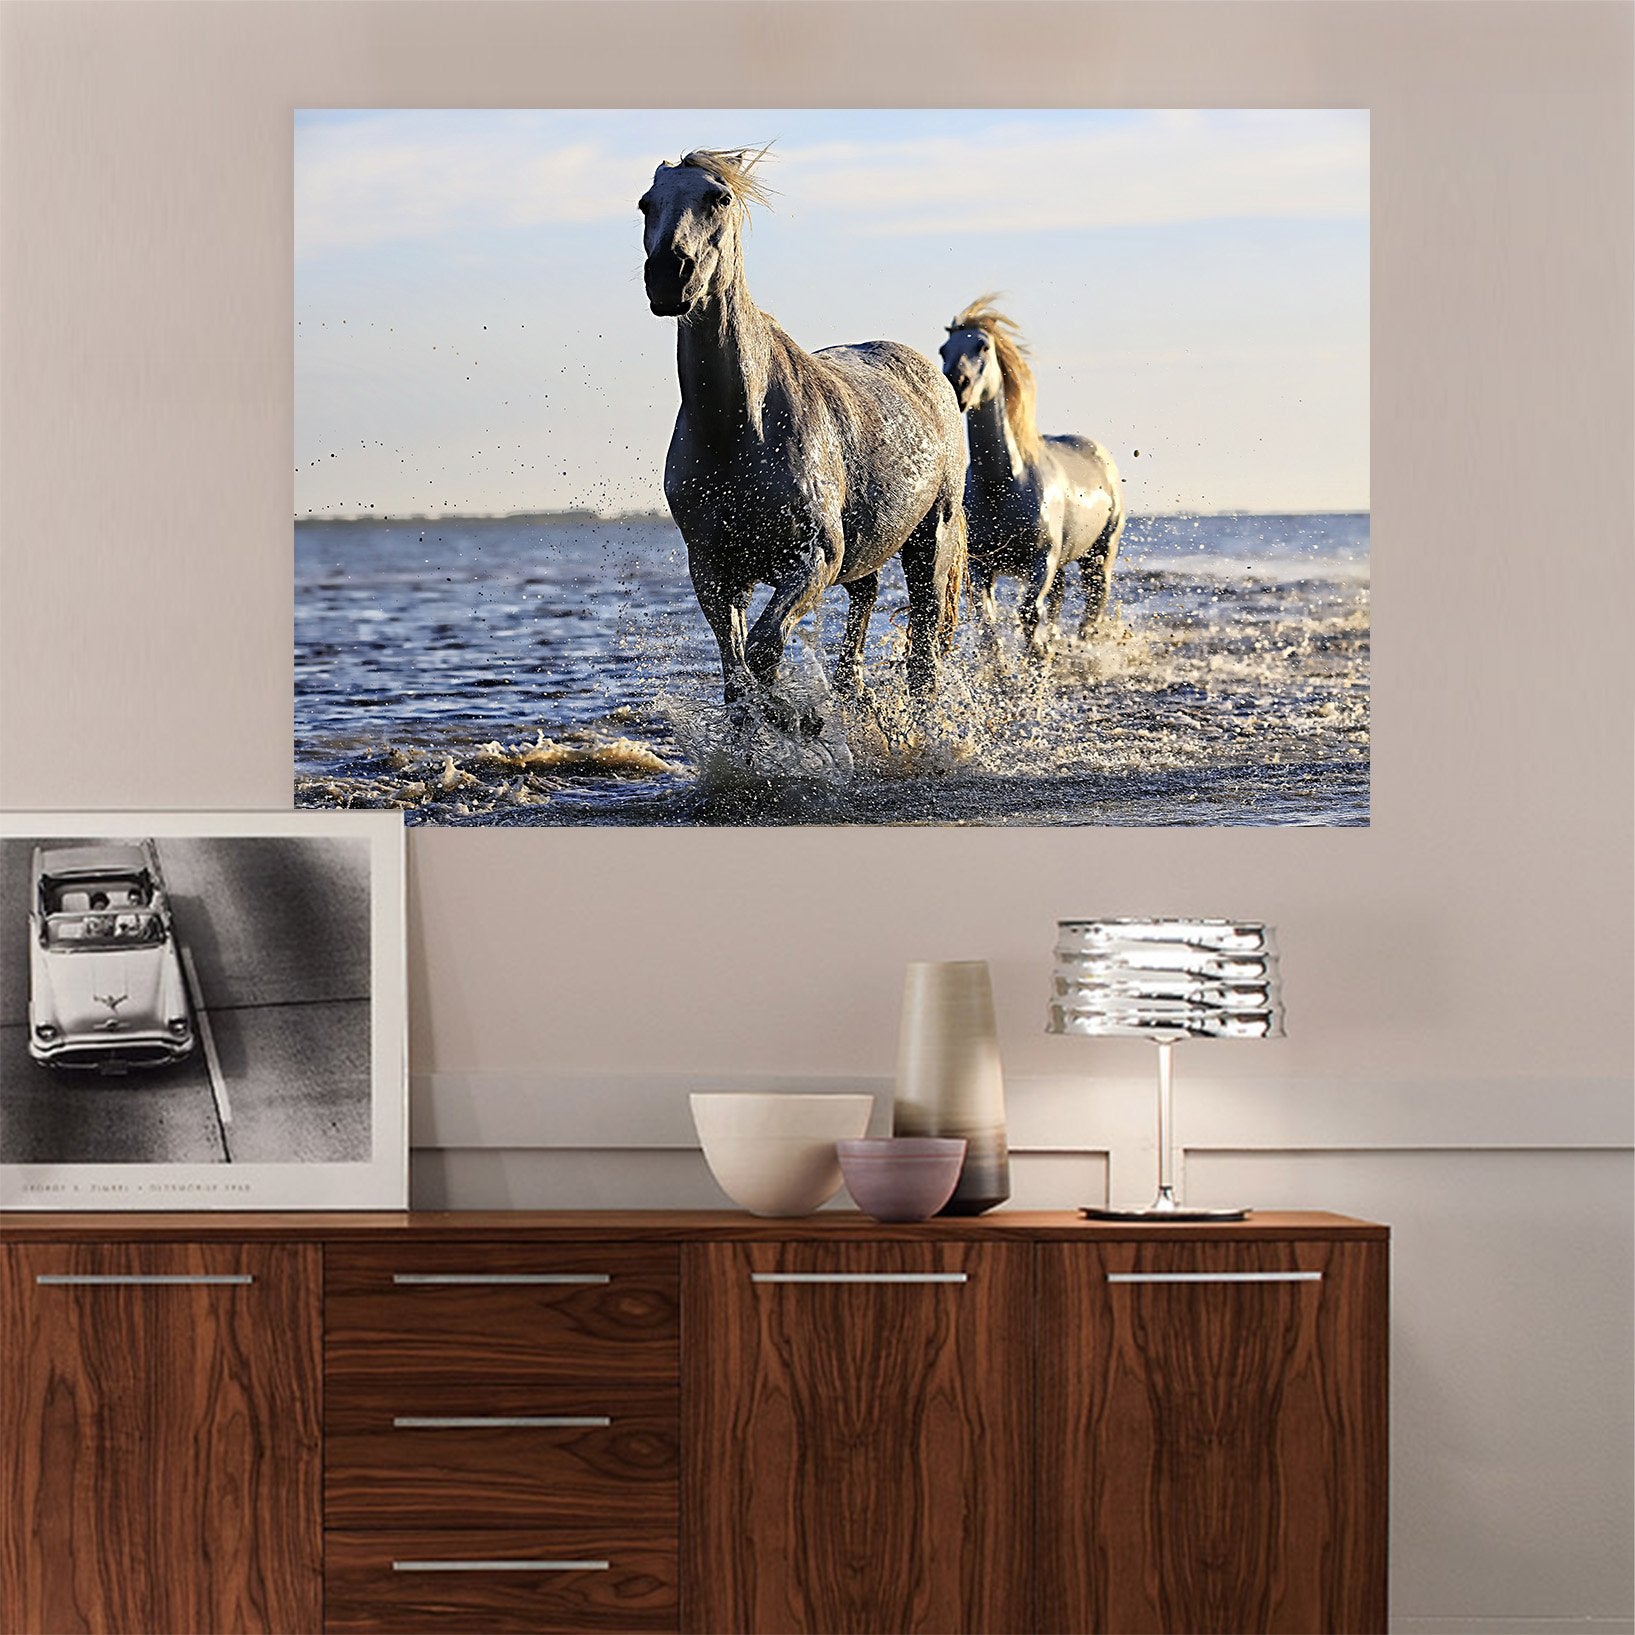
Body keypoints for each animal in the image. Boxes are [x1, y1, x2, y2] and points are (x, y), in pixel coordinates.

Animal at [639, 148, 967, 718]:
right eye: (645, 204)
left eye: (718, 197)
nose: (668, 276)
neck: (739, 428)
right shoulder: (715, 569)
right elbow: (738, 676)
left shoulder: (815, 557)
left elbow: (765, 651)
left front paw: (794, 722)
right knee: (862, 614)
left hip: (931, 541)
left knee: (924, 657)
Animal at [938, 296, 1125, 661]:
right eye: (943, 350)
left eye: (983, 346)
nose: (956, 385)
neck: (1002, 485)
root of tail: (1100, 455)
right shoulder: (982, 565)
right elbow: (988, 622)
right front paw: (1003, 666)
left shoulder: (1042, 559)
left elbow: (1028, 614)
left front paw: (1036, 658)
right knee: (1059, 598)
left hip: (1099, 554)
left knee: (1094, 602)